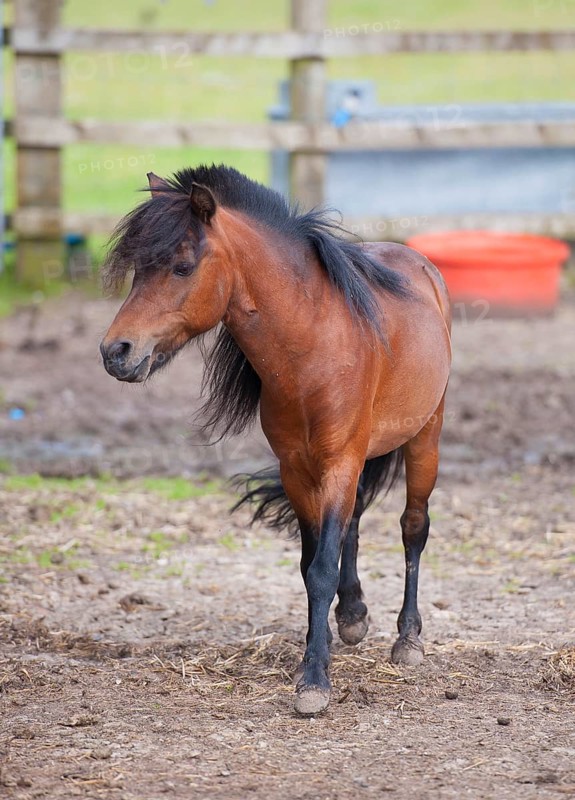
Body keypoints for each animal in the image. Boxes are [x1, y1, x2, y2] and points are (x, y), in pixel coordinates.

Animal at [100, 165, 452, 716]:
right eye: (139, 269)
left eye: (182, 267)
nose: (116, 351)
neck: (313, 345)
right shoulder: (297, 468)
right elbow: (312, 566)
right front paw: (318, 651)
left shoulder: (339, 461)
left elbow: (324, 567)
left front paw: (314, 682)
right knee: (354, 520)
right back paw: (353, 617)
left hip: (424, 438)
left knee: (413, 527)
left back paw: (408, 639)